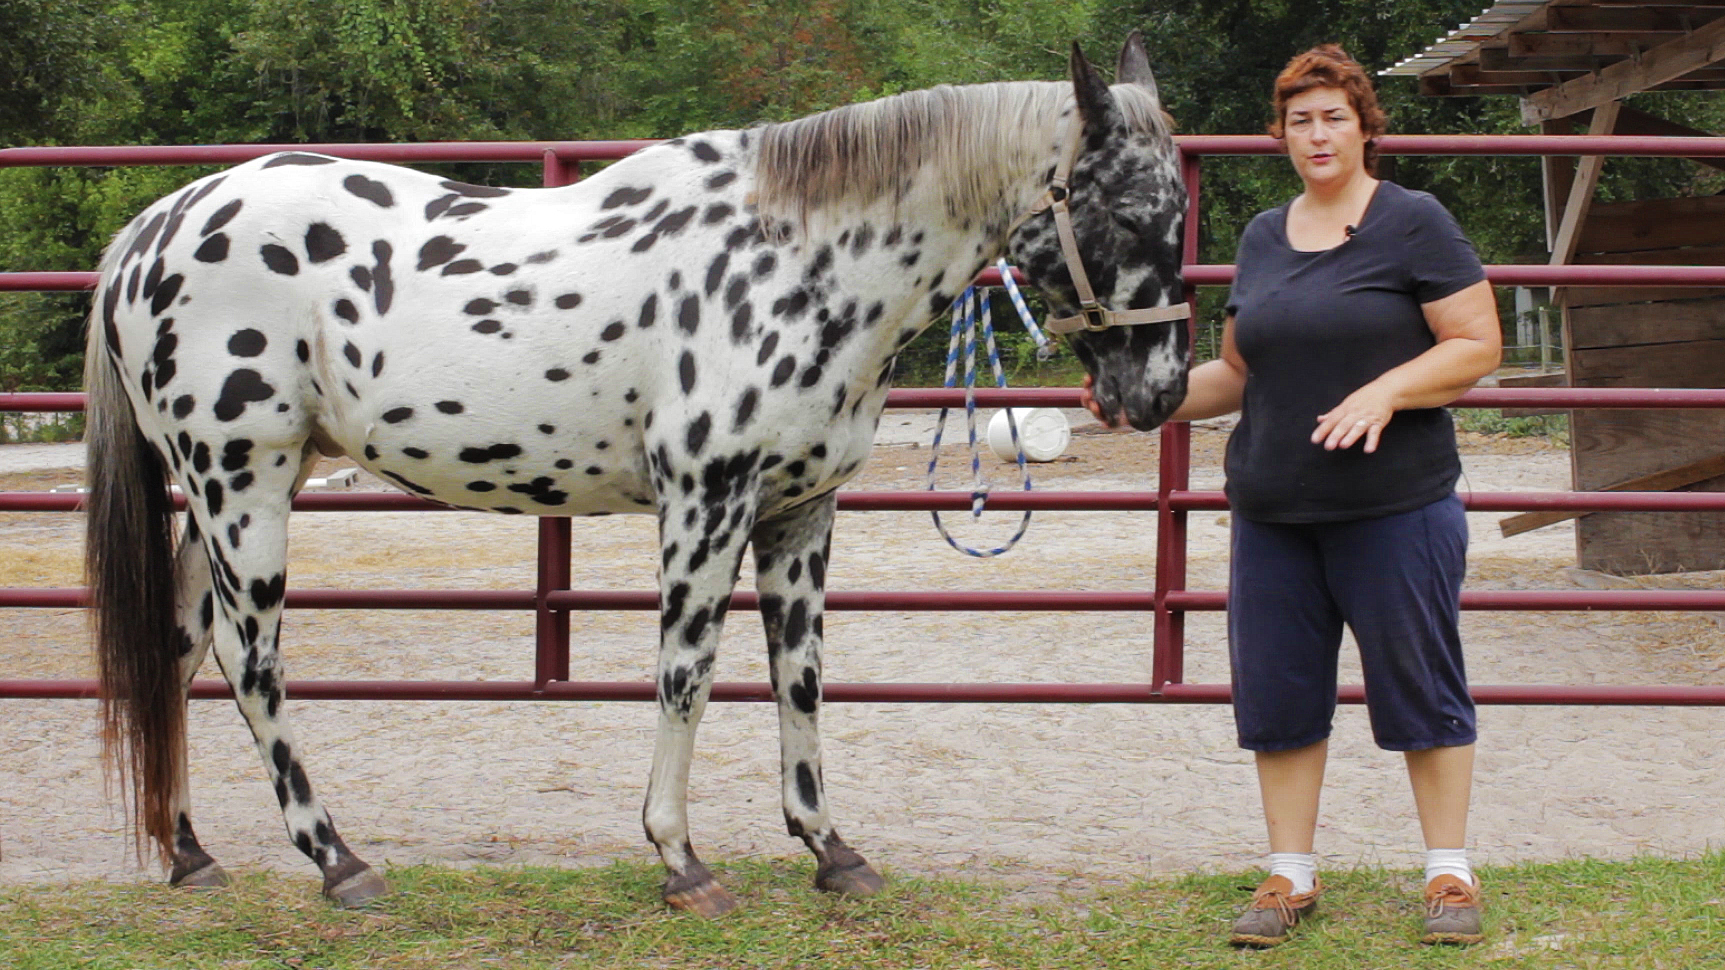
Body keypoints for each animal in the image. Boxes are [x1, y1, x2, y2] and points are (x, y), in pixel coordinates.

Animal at [81, 32, 1186, 911]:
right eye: (1135, 215)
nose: (1160, 390)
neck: (796, 257)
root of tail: (151, 232)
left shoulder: (800, 511)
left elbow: (801, 676)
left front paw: (831, 850)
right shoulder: (707, 501)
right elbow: (685, 673)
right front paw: (680, 859)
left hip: (222, 496)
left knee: (178, 648)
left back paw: (189, 851)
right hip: (245, 487)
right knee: (248, 659)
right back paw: (338, 861)